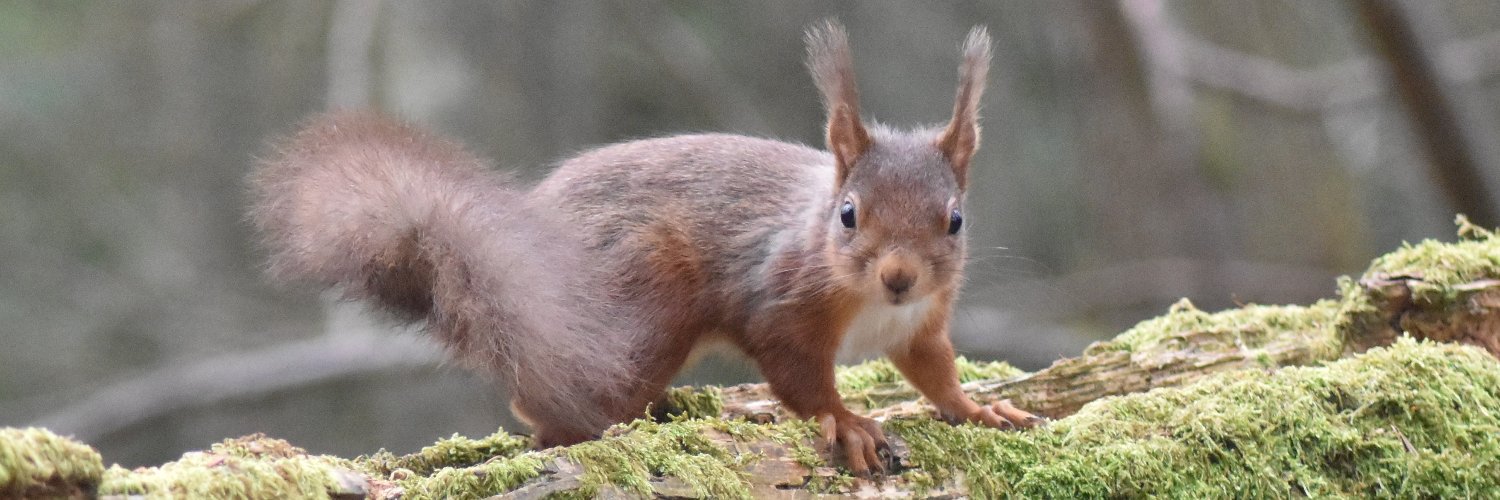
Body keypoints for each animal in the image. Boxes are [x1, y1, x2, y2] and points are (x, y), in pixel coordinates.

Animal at [249, 21, 1041, 475]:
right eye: (848, 214)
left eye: (955, 220)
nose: (900, 276)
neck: (870, 303)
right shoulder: (779, 299)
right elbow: (799, 375)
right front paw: (845, 422)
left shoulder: (922, 323)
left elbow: (933, 370)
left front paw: (981, 410)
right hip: (639, 302)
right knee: (549, 408)